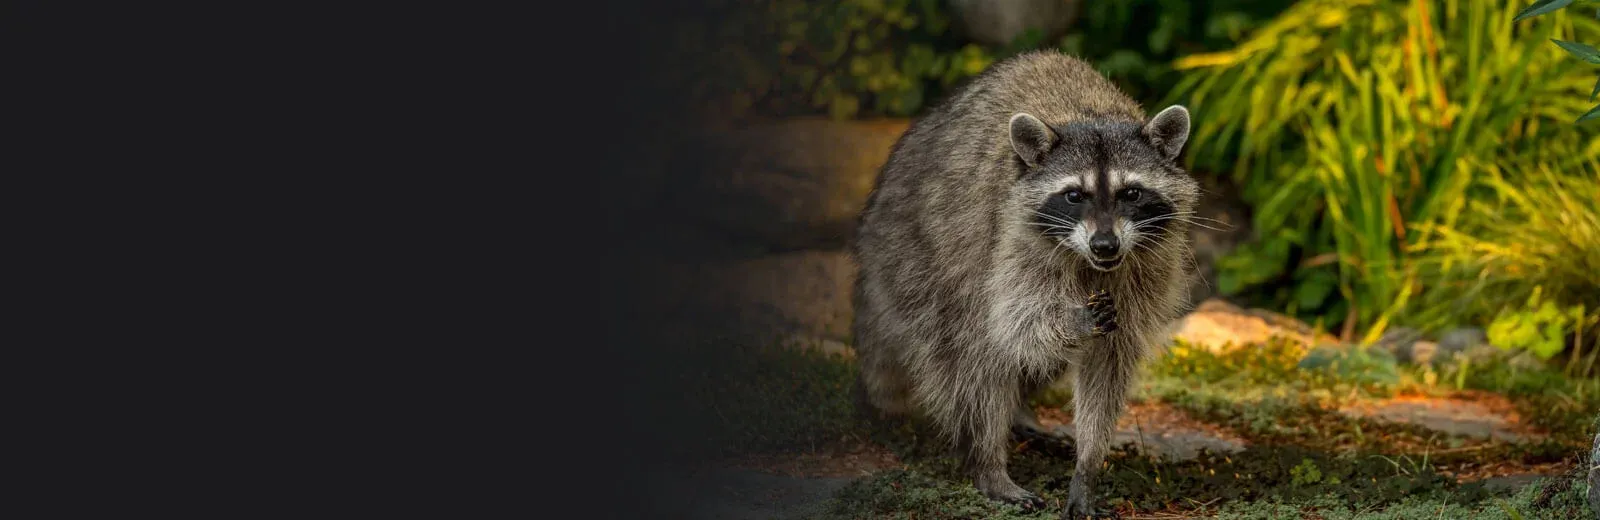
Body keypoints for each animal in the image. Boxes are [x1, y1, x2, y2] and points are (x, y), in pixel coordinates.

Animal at [857, 49, 1196, 518]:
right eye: (1074, 195)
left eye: (1132, 193)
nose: (1105, 244)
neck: (1090, 114)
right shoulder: (1012, 236)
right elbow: (1014, 322)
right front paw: (1072, 321)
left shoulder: (1146, 266)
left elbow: (1108, 361)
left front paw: (1088, 465)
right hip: (922, 259)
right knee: (972, 352)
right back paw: (987, 461)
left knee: (1036, 361)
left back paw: (1018, 416)